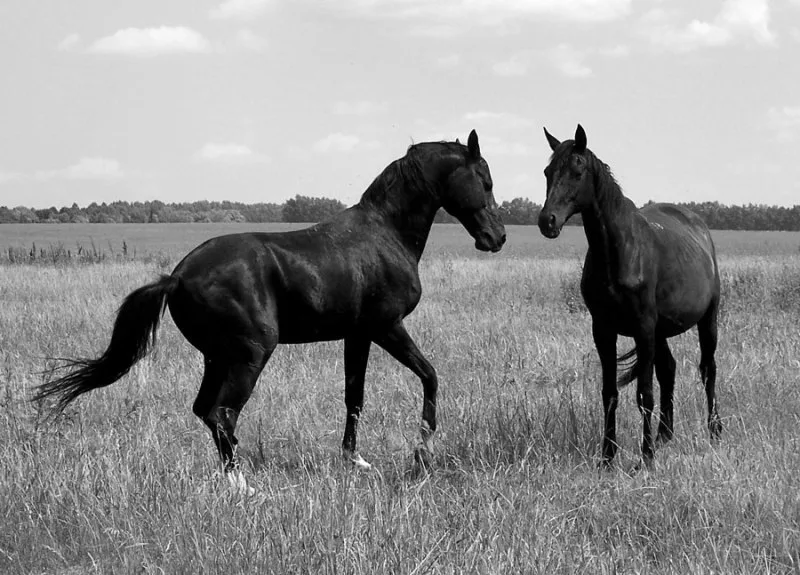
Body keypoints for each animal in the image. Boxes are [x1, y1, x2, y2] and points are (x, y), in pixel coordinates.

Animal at [36, 130, 506, 486]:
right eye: (485, 180)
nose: (497, 237)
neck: (384, 234)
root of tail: (178, 276)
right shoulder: (387, 327)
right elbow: (430, 377)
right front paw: (421, 454)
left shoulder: (358, 335)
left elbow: (354, 396)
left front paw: (354, 460)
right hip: (251, 353)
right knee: (222, 414)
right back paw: (243, 486)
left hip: (218, 357)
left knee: (206, 412)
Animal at [536, 125, 720, 468]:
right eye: (547, 172)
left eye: (577, 171)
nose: (547, 221)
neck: (618, 252)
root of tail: (699, 226)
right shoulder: (603, 330)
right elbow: (610, 393)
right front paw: (607, 457)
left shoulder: (643, 328)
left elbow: (644, 394)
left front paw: (645, 459)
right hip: (660, 332)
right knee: (669, 369)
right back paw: (664, 436)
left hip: (707, 320)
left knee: (708, 369)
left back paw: (714, 431)